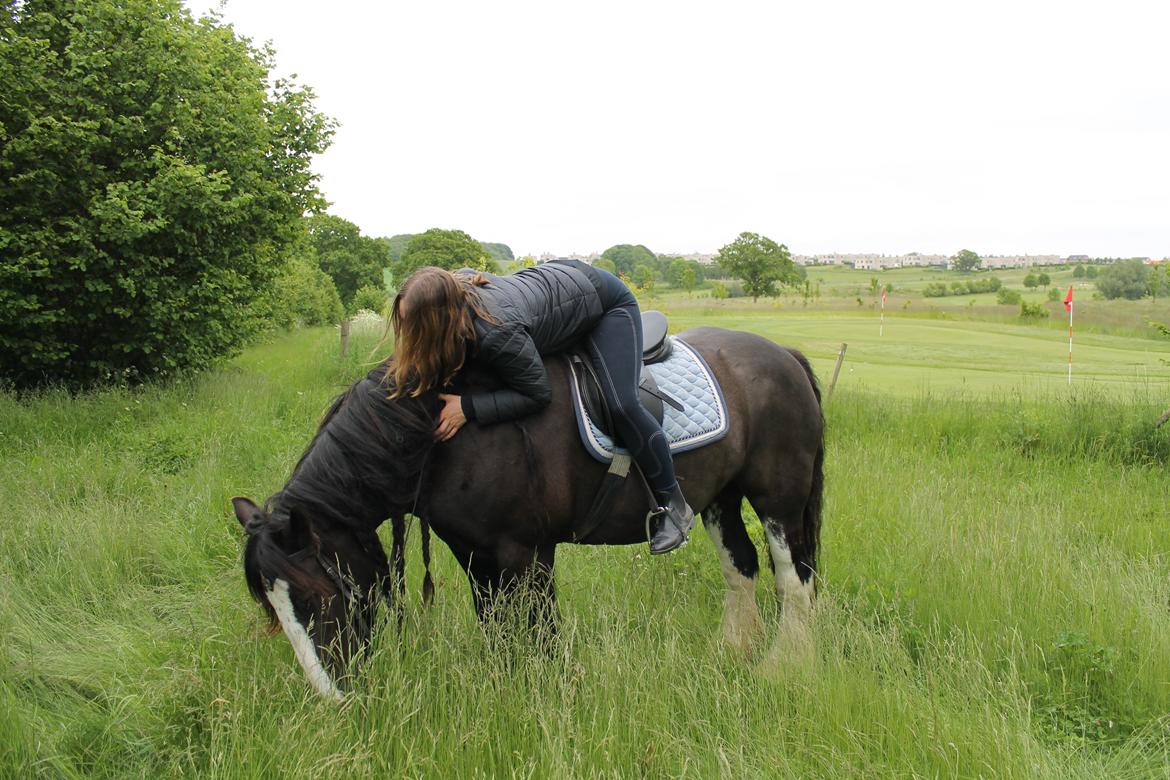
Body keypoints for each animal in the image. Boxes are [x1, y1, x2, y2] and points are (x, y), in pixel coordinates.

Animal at [230, 327, 823, 696]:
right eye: (273, 610)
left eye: (316, 597)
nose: (335, 698)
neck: (447, 435)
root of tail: (784, 354)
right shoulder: (473, 553)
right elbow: (495, 625)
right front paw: (503, 690)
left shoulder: (528, 552)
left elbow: (539, 630)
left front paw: (551, 691)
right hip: (720, 498)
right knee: (741, 566)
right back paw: (733, 652)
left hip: (778, 499)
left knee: (793, 577)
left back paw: (784, 667)